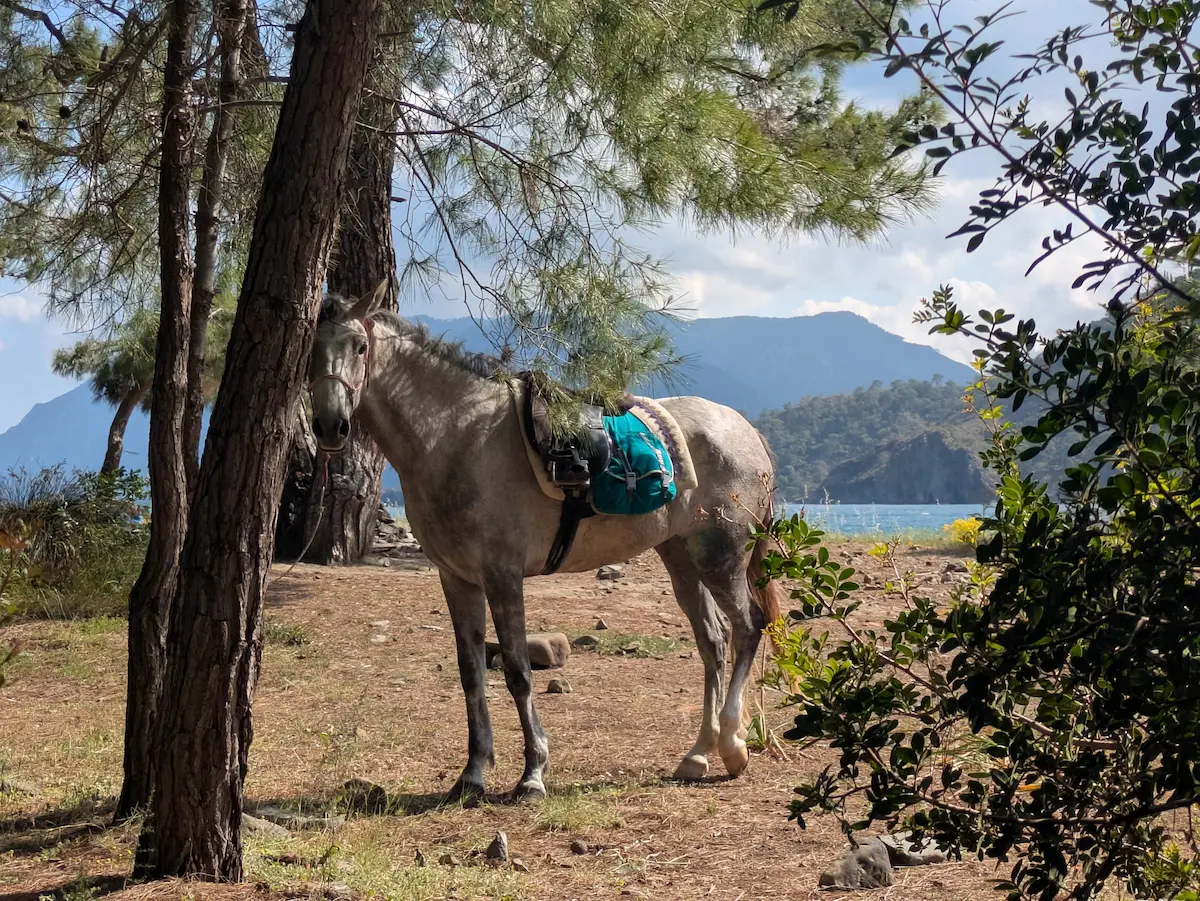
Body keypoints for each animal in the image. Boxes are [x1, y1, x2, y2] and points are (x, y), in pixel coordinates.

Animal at [307, 282, 785, 802]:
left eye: (359, 346)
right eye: (311, 351)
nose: (330, 427)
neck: (459, 436)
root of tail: (747, 432)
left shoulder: (502, 575)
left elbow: (517, 670)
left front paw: (532, 773)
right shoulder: (457, 578)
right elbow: (471, 672)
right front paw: (472, 774)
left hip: (720, 555)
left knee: (748, 627)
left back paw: (732, 744)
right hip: (680, 557)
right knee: (712, 642)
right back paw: (698, 754)